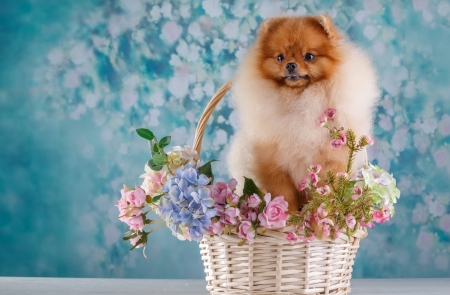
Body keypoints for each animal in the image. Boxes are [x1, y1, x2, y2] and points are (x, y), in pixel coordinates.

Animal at [227, 15, 378, 213]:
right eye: (280, 57)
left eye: (309, 56)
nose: (290, 65)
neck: (299, 100)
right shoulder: (275, 165)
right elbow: (282, 194)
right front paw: (286, 216)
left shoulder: (329, 164)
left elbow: (325, 194)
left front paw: (321, 218)